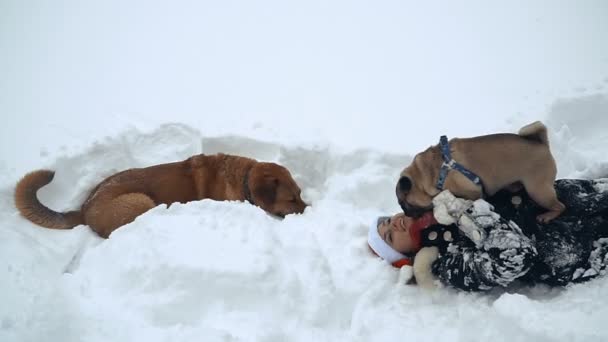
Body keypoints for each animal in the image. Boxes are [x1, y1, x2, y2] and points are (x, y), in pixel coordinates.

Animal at [16, 154, 306, 236]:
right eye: (291, 200)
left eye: (300, 194)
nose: (308, 210)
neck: (245, 178)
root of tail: (84, 208)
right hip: (141, 201)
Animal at [394, 121, 564, 223]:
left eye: (404, 204)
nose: (406, 214)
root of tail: (542, 144)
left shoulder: (473, 192)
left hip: (538, 191)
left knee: (560, 207)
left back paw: (547, 216)